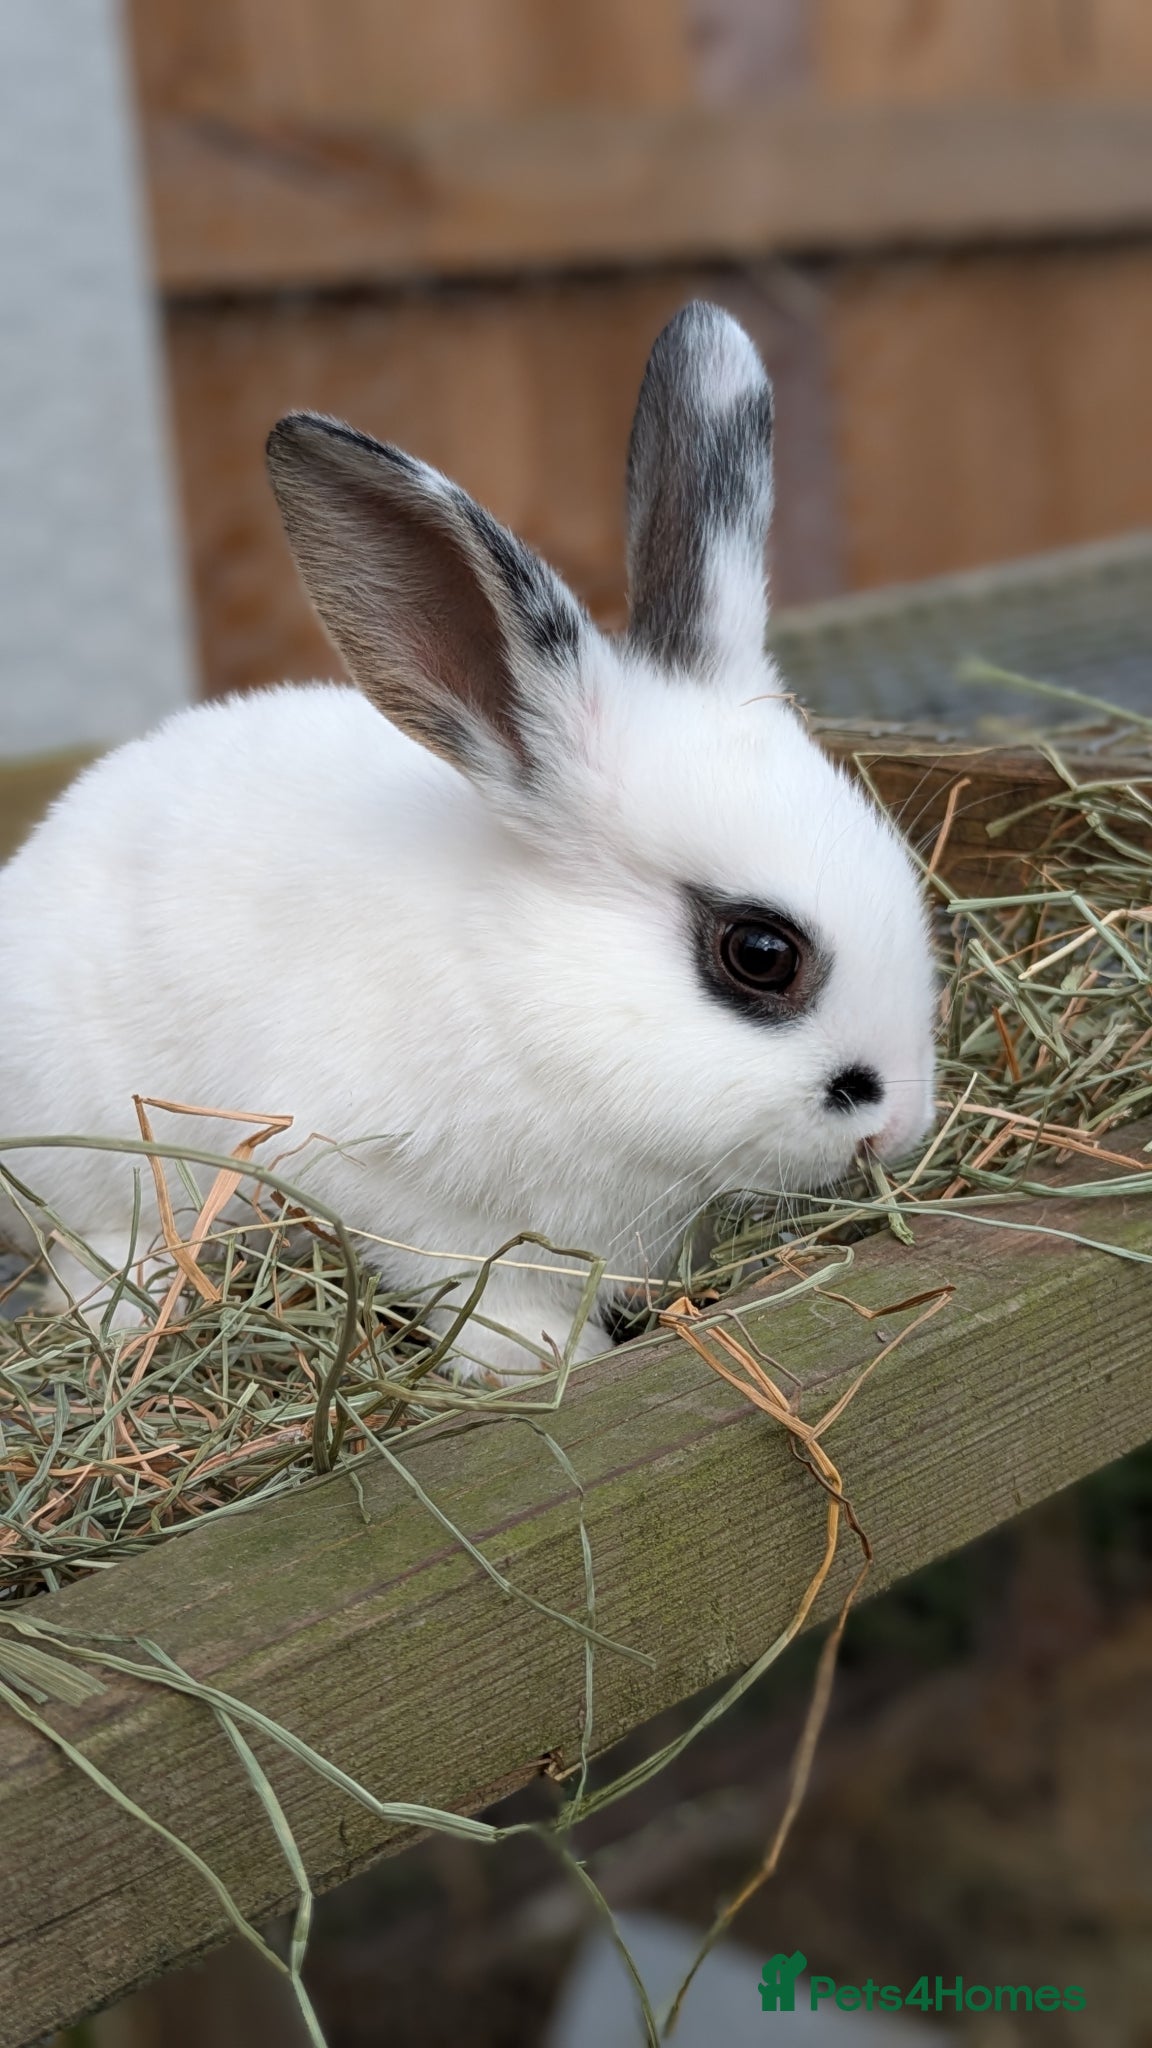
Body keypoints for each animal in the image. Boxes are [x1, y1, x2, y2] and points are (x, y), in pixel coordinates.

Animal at [0, 301, 937, 1382]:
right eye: (759, 952)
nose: (901, 1128)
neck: (518, 979)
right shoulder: (389, 1188)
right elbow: (477, 1286)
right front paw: (542, 1355)